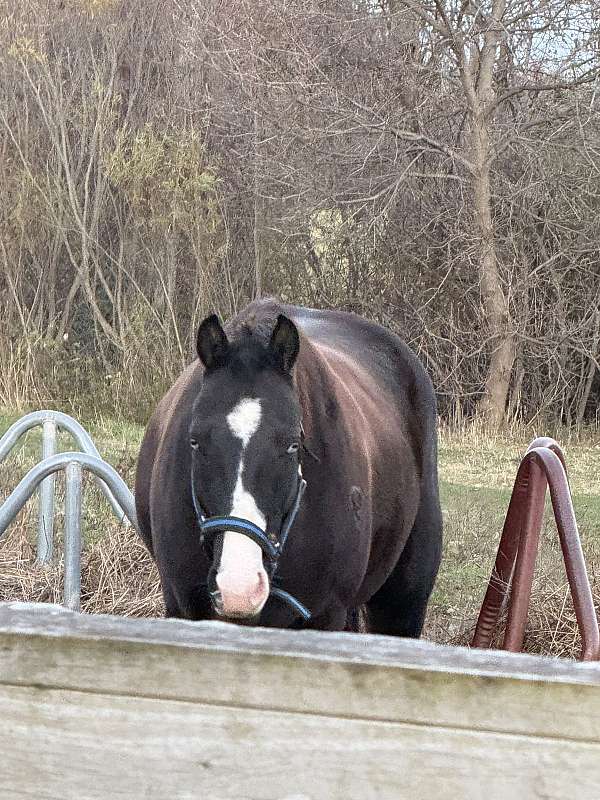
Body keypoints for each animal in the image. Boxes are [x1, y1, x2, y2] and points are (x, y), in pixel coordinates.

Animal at [134, 299, 442, 635]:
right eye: (194, 441)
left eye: (293, 444)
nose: (238, 587)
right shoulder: (182, 608)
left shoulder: (325, 617)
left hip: (401, 602)